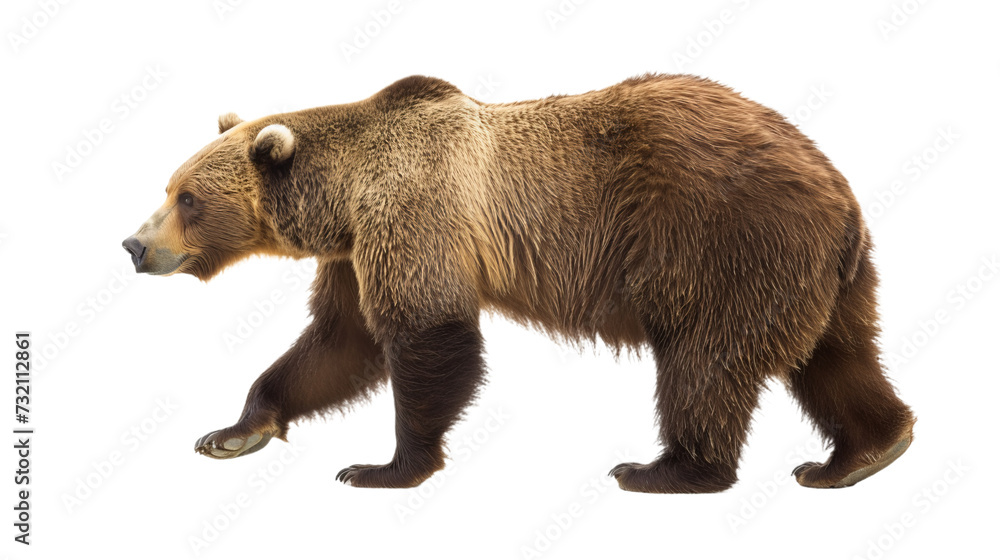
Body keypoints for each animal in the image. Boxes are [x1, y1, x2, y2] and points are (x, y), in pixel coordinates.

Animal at [122, 74, 915, 493]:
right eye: (169, 186)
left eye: (187, 197)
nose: (134, 245)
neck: (343, 196)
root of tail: (838, 191)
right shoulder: (353, 252)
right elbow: (338, 345)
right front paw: (232, 432)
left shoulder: (417, 212)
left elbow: (427, 337)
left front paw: (385, 465)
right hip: (824, 275)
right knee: (839, 358)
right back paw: (861, 454)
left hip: (721, 243)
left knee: (703, 362)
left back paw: (665, 469)